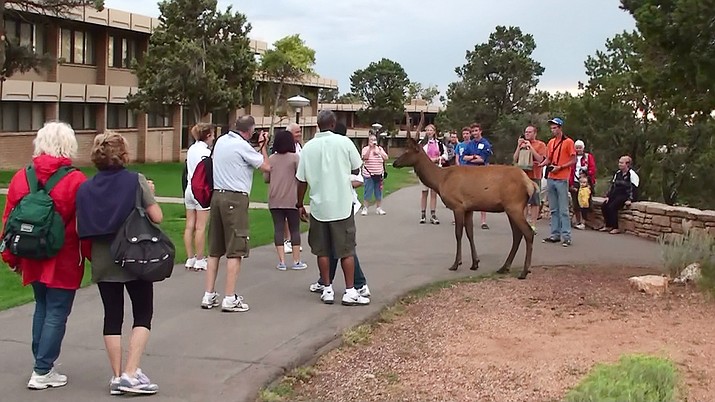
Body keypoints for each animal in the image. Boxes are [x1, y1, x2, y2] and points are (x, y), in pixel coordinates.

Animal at [394, 111, 540, 278]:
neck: (440, 180)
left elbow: (458, 234)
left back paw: (524, 271)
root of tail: (530, 183)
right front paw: (475, 263)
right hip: (513, 207)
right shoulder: (469, 208)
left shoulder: (458, 205)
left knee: (528, 233)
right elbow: (470, 233)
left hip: (514, 205)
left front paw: (456, 264)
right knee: (517, 235)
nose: (395, 163)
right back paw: (504, 267)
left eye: (408, 150)